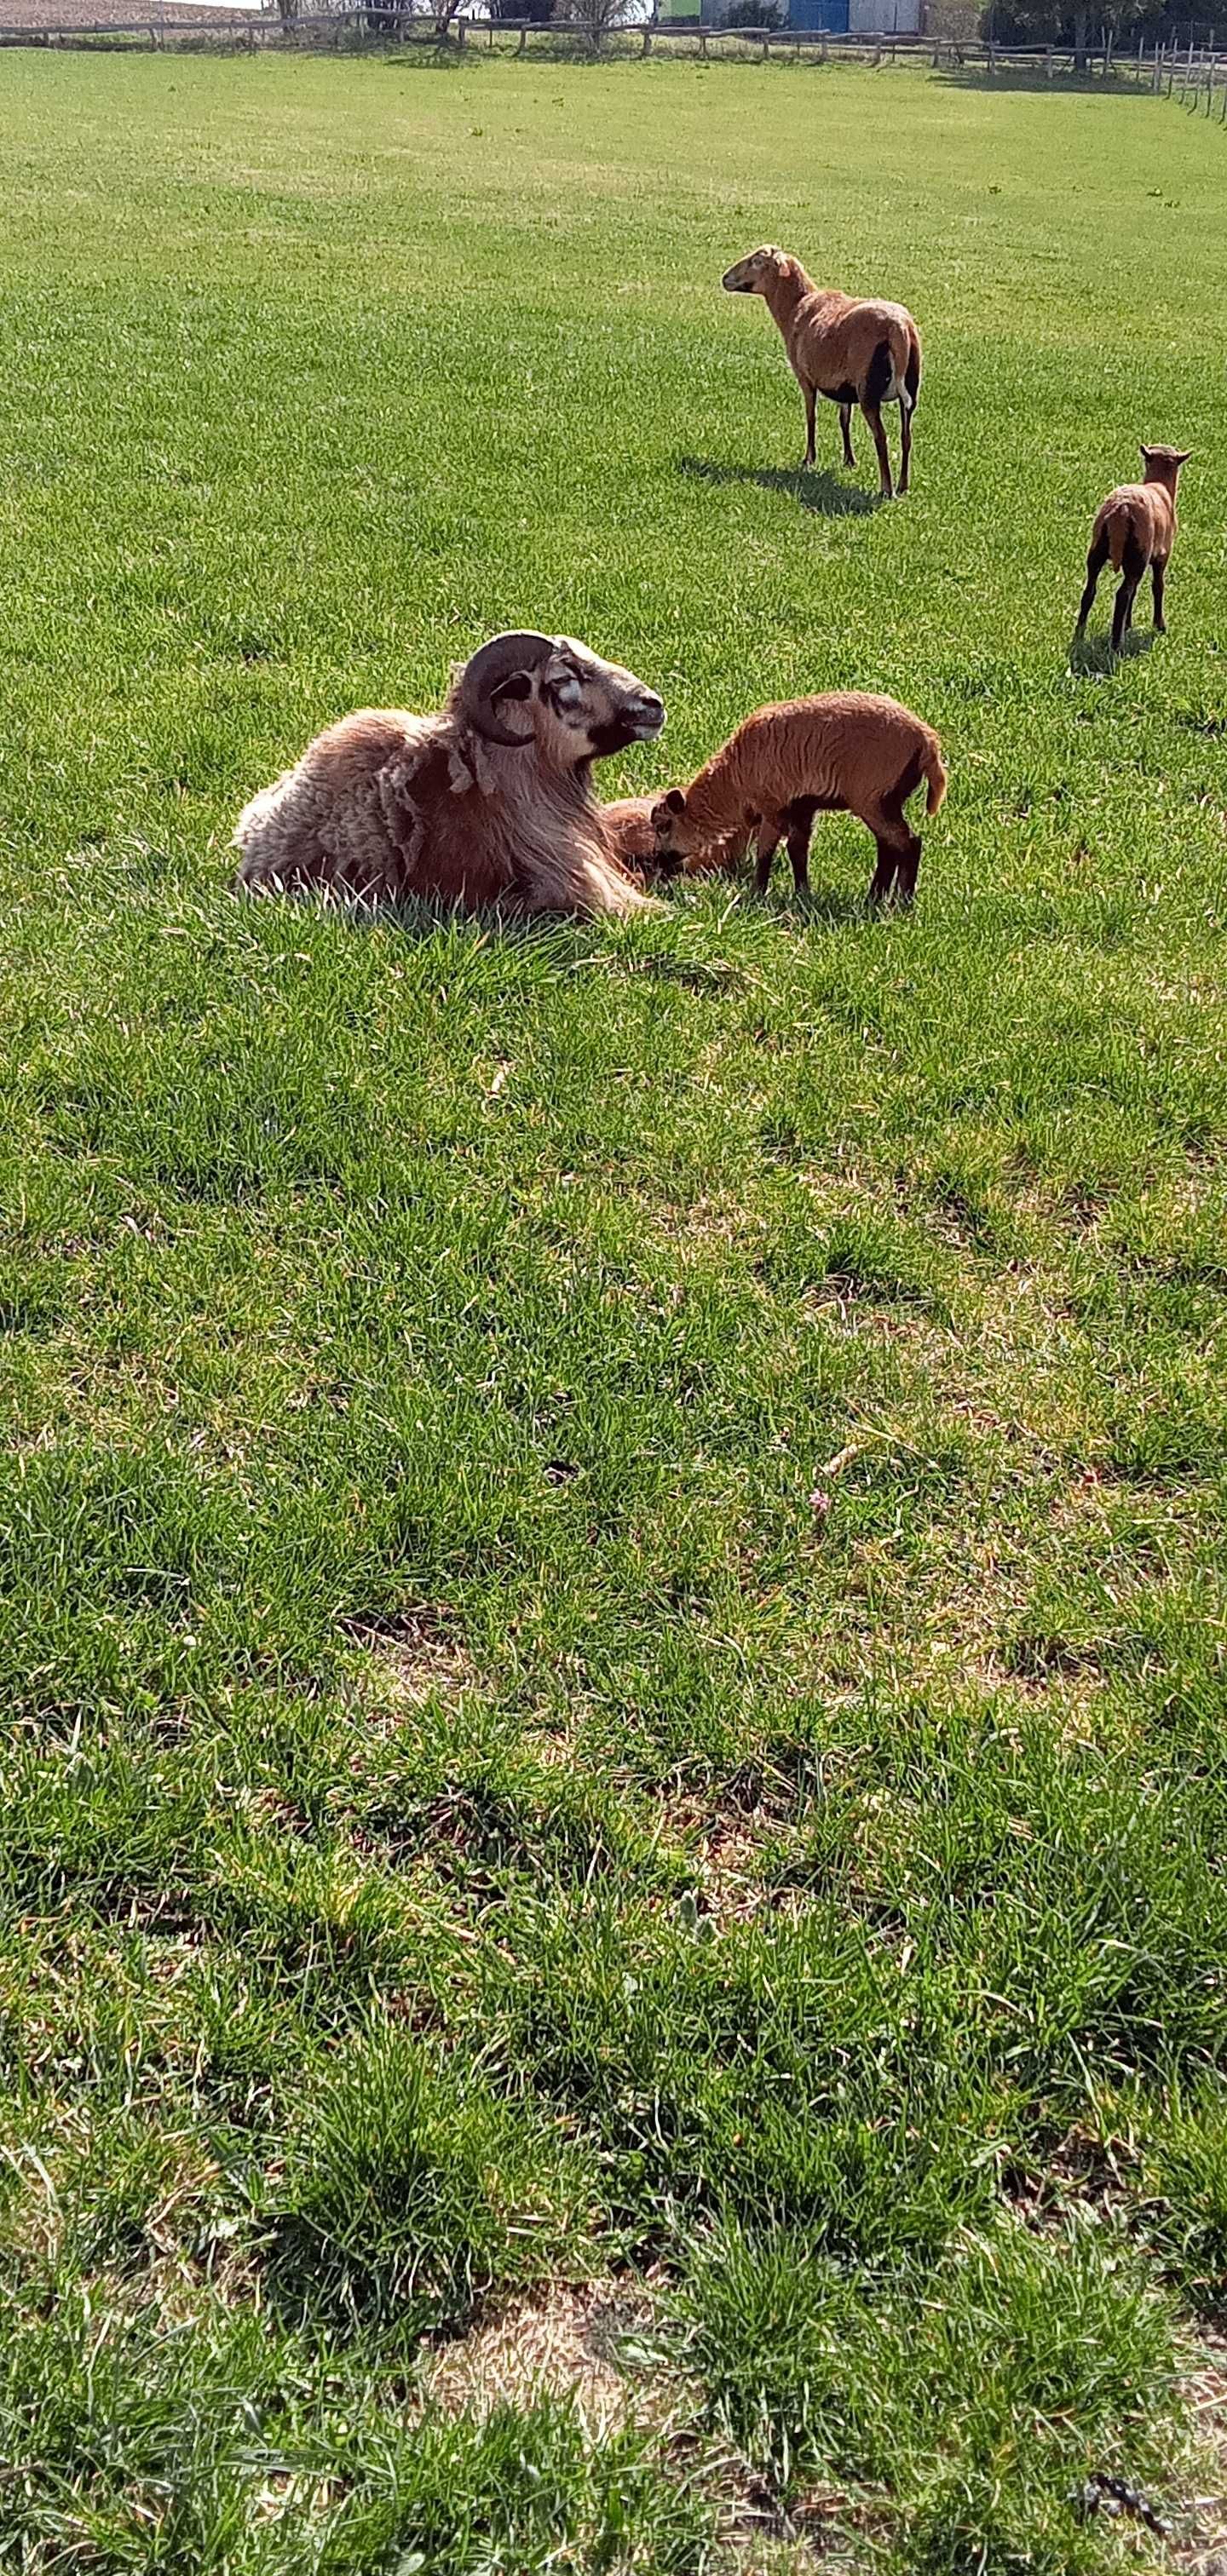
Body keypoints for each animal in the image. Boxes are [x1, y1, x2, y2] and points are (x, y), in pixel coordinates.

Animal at [652, 695, 948, 906]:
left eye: (664, 825)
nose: (657, 861)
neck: (732, 781)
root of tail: (926, 740)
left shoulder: (773, 806)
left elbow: (766, 851)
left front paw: (757, 893)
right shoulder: (802, 808)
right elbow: (798, 851)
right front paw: (802, 893)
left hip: (874, 796)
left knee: (908, 843)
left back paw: (903, 902)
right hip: (885, 799)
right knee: (888, 847)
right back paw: (874, 899)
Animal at [717, 245, 917, 497]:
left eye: (757, 261)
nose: (725, 278)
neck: (795, 306)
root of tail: (899, 329)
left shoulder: (805, 378)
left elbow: (811, 416)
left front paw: (809, 459)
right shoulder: (844, 387)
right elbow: (844, 420)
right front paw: (849, 461)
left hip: (868, 390)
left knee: (881, 437)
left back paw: (886, 489)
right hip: (910, 386)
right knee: (906, 436)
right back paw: (903, 485)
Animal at [1077, 443, 1190, 649]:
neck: (1161, 485)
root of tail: (1121, 510)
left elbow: (1136, 591)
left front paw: (1128, 624)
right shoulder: (1162, 556)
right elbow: (1158, 587)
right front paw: (1159, 626)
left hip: (1098, 549)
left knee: (1090, 591)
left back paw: (1080, 634)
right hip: (1139, 553)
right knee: (1122, 594)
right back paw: (1116, 644)